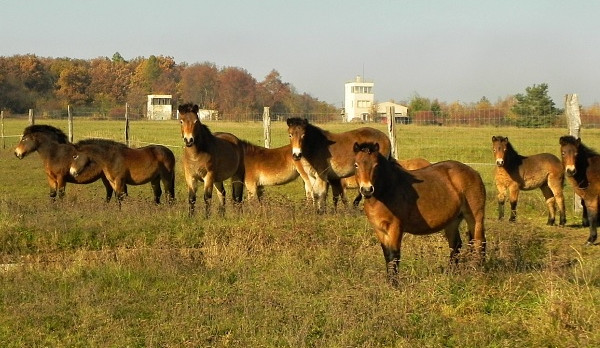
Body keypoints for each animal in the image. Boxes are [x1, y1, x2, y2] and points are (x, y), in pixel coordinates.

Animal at [354, 141, 486, 286]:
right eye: (356, 165)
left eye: (376, 165)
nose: (367, 190)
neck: (386, 192)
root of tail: (473, 172)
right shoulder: (379, 230)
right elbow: (387, 255)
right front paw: (390, 282)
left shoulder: (395, 228)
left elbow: (394, 255)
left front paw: (395, 285)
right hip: (452, 221)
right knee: (456, 245)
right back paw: (452, 273)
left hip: (475, 218)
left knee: (479, 242)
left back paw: (477, 272)